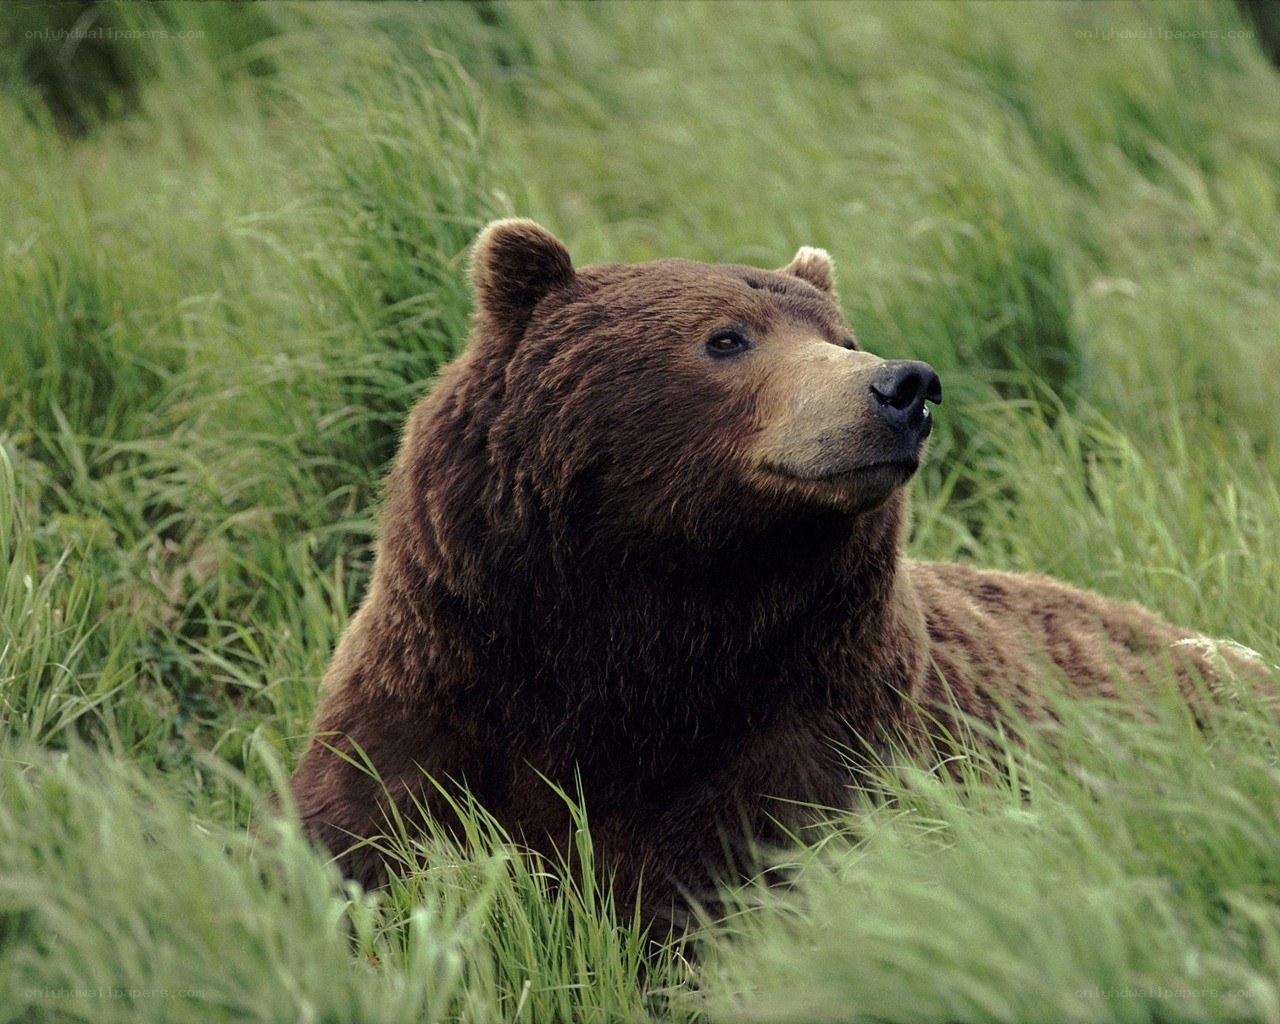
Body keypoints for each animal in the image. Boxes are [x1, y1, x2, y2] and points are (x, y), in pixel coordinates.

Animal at [291, 219, 1267, 929]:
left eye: (842, 335)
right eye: (727, 338)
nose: (903, 387)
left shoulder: (809, 720)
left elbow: (751, 875)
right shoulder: (446, 682)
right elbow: (373, 841)